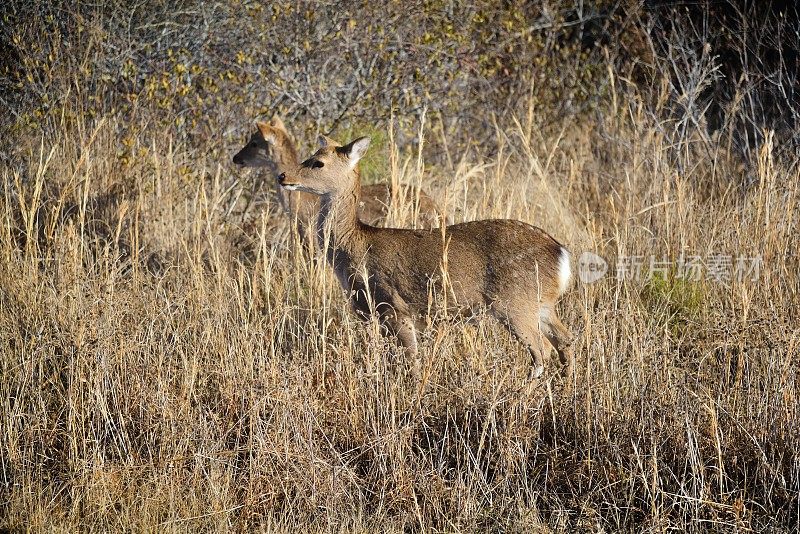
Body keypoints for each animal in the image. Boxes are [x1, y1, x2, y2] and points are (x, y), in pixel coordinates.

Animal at [280, 136, 576, 384]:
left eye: (318, 162)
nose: (283, 175)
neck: (354, 246)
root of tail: (560, 253)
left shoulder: (393, 305)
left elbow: (411, 360)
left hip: (514, 302)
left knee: (542, 349)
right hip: (541, 303)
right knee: (565, 339)